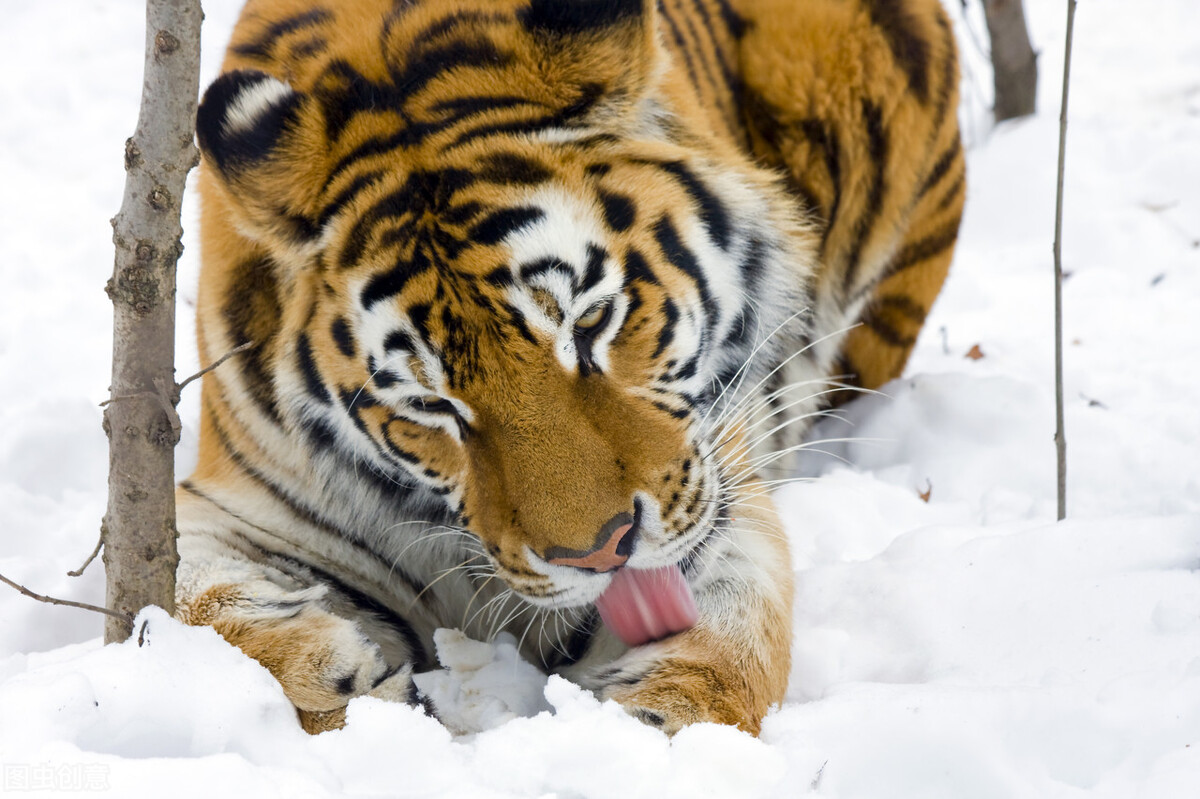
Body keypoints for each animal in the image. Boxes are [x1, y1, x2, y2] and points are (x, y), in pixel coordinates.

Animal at [175, 0, 964, 734]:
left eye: (589, 325)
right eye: (432, 406)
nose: (600, 555)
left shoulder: (720, 485)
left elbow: (732, 635)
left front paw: (661, 727)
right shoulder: (243, 501)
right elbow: (188, 595)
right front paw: (331, 675)